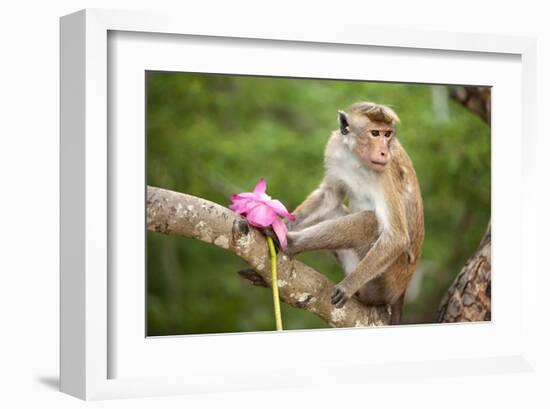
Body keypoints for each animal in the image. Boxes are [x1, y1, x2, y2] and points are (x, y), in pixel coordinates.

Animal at [282, 103, 424, 326]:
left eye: (387, 134)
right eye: (375, 133)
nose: (383, 152)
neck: (357, 158)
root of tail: (402, 290)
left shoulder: (386, 173)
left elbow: (396, 236)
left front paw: (348, 285)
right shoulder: (335, 149)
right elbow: (329, 196)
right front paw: (282, 222)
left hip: (386, 281)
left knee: (371, 222)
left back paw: (291, 244)